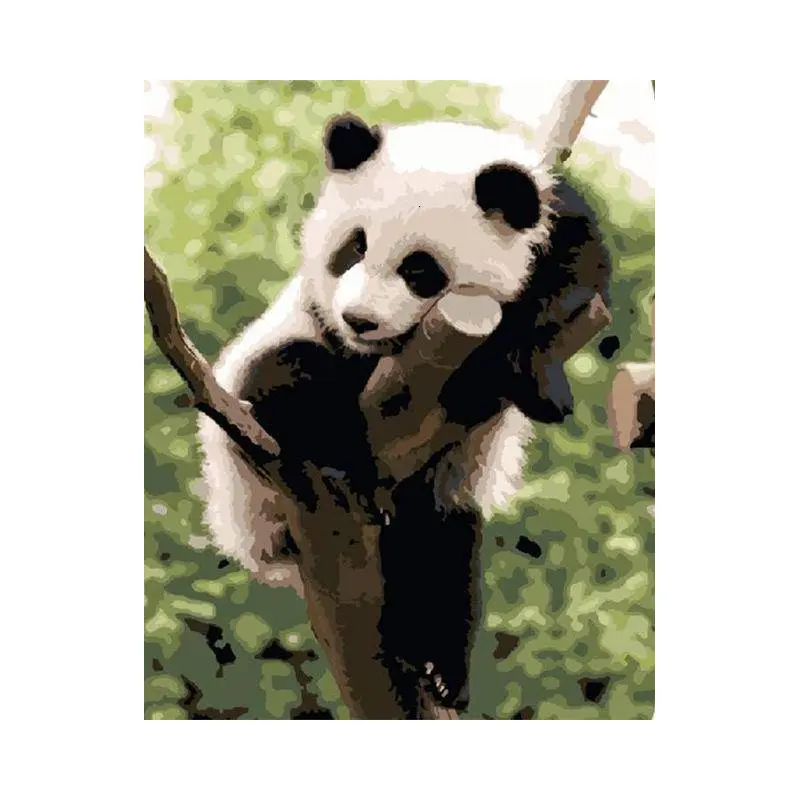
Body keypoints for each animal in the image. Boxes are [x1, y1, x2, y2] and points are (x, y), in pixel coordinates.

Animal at [198, 114, 610, 716]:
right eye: (353, 247)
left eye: (421, 270)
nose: (359, 319)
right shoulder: (310, 325)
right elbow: (291, 374)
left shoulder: (558, 221)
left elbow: (574, 278)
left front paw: (534, 379)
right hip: (253, 494)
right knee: (289, 378)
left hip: (442, 488)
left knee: (442, 555)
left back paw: (440, 667)